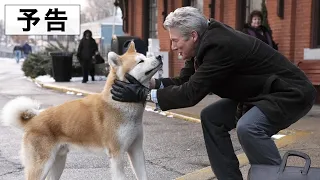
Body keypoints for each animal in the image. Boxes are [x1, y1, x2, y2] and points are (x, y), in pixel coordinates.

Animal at [1, 41, 162, 179]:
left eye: (145, 56)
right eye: (140, 61)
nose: (159, 56)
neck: (120, 104)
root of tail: (33, 120)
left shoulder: (136, 150)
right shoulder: (117, 155)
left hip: (58, 162)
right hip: (42, 166)